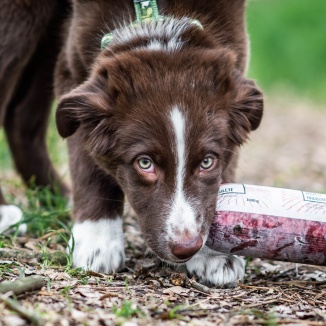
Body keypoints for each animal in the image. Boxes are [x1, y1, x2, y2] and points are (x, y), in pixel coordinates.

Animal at [0, 0, 264, 286]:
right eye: (144, 163)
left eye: (207, 161)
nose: (186, 248)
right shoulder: (72, 69)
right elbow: (89, 165)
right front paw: (98, 240)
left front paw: (215, 253)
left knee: (21, 117)